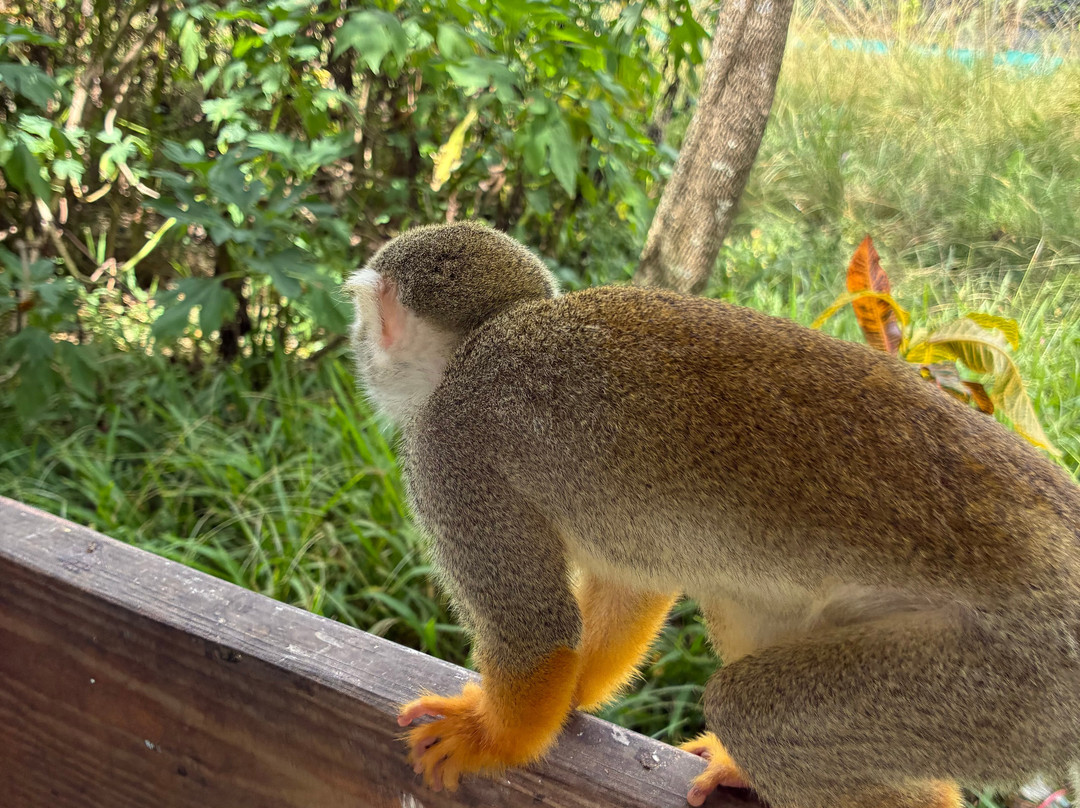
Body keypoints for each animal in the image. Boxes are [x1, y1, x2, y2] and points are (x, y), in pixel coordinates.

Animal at [344, 221, 1080, 808]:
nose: (357, 346)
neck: (476, 343)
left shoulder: (450, 453)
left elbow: (534, 630)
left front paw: (489, 737)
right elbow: (631, 583)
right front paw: (573, 693)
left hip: (1016, 682)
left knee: (756, 715)